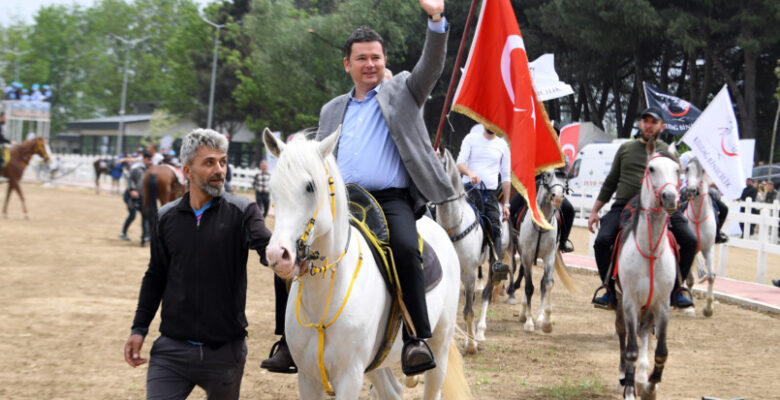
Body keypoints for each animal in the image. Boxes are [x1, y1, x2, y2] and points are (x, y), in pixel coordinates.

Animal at [262, 129, 470, 400]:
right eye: (273, 187)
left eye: (310, 186)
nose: (278, 254)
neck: (324, 299)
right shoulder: (307, 378)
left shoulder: (349, 377)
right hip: (377, 364)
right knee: (392, 392)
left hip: (440, 347)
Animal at [432, 149, 512, 354]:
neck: (454, 227)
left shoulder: (468, 273)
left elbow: (468, 311)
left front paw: (471, 345)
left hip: (494, 262)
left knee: (486, 294)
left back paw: (480, 333)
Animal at [506, 170, 560, 332]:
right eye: (547, 175)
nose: (558, 197)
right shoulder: (527, 255)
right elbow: (529, 287)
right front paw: (529, 322)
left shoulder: (550, 256)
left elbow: (546, 283)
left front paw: (544, 321)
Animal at [612, 147, 680, 400]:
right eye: (651, 169)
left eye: (677, 169)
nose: (670, 197)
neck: (650, 251)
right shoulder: (630, 301)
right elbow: (630, 349)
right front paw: (630, 389)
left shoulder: (662, 303)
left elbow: (661, 351)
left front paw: (650, 386)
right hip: (621, 300)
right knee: (623, 333)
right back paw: (625, 375)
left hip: (649, 305)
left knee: (643, 332)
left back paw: (642, 375)